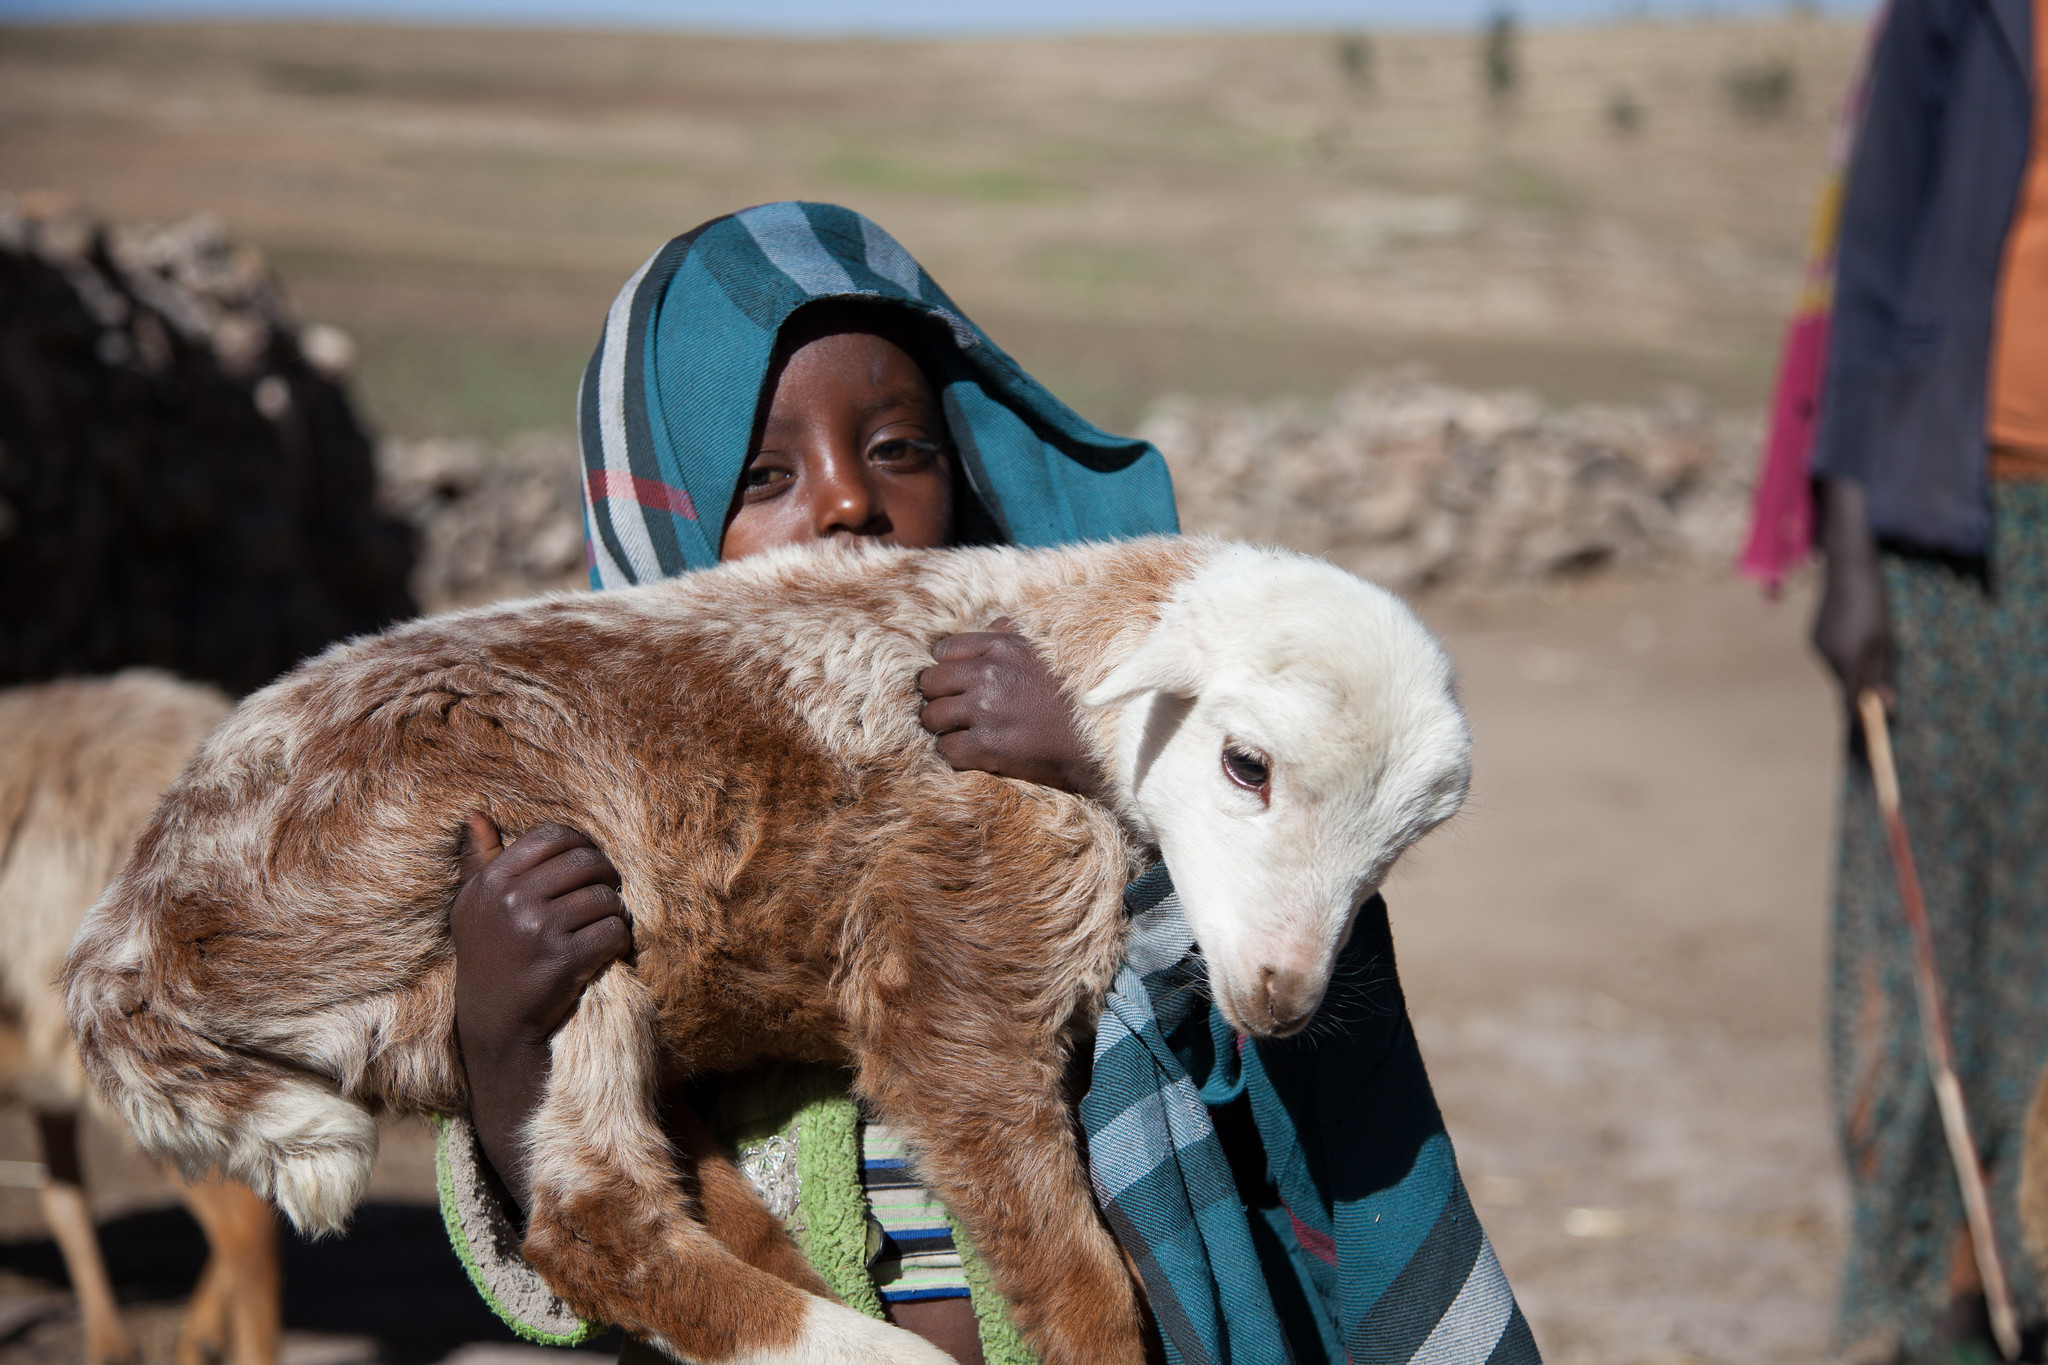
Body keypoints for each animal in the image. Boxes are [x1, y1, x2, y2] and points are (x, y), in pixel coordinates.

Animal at [64, 540, 1474, 1365]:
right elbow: (1076, 1276)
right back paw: (859, 1351)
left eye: (1404, 845)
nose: (1279, 1003)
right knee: (595, 1222)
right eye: (1245, 765)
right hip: (504, 869)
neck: (1063, 632)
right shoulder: (964, 934)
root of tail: (135, 932)